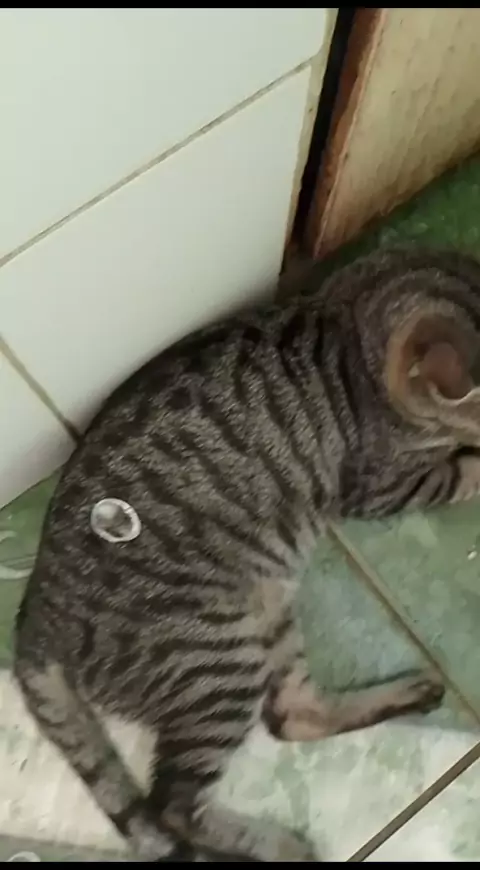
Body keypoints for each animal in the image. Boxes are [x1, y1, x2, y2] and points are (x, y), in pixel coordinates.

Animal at [13, 246, 480, 862]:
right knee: (175, 804)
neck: (351, 321)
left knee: (291, 716)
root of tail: (35, 617)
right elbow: (464, 471)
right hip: (216, 660)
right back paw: (281, 845)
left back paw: (408, 693)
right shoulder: (383, 487)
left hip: (267, 614)